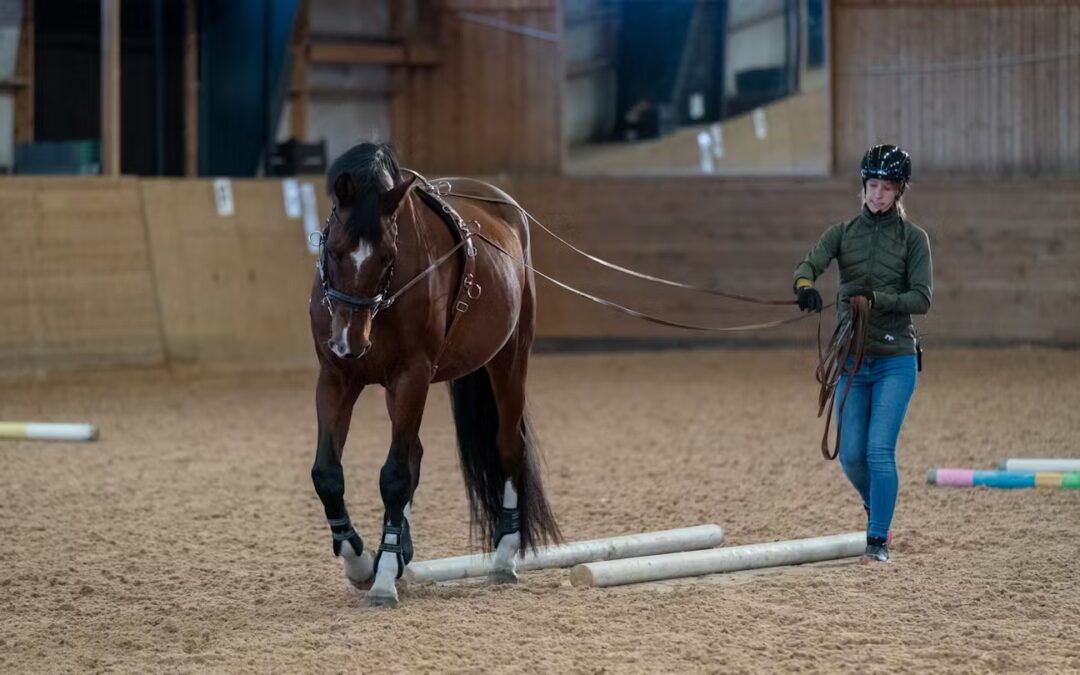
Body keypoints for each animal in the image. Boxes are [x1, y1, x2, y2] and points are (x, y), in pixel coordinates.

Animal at [308, 140, 561, 604]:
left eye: (388, 256)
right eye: (333, 250)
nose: (351, 342)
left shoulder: (413, 376)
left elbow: (394, 476)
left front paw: (382, 576)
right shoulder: (337, 377)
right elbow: (328, 475)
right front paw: (359, 562)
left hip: (509, 358)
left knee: (508, 447)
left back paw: (504, 556)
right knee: (416, 455)